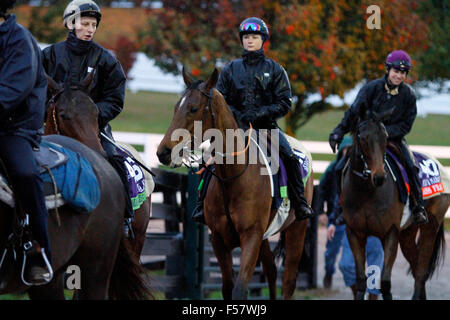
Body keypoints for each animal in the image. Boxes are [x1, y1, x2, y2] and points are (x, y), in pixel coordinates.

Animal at [156, 68, 314, 300]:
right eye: (176, 107)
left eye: (193, 108)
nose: (164, 152)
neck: (234, 177)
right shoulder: (220, 240)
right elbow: (228, 288)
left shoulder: (251, 236)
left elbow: (239, 289)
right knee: (271, 270)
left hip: (297, 229)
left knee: (288, 281)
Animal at [342, 106, 450, 298]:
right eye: (362, 137)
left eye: (385, 137)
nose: (379, 177)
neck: (365, 193)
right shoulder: (354, 233)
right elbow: (361, 281)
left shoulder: (390, 233)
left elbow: (385, 283)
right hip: (407, 233)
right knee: (416, 267)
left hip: (431, 226)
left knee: (421, 272)